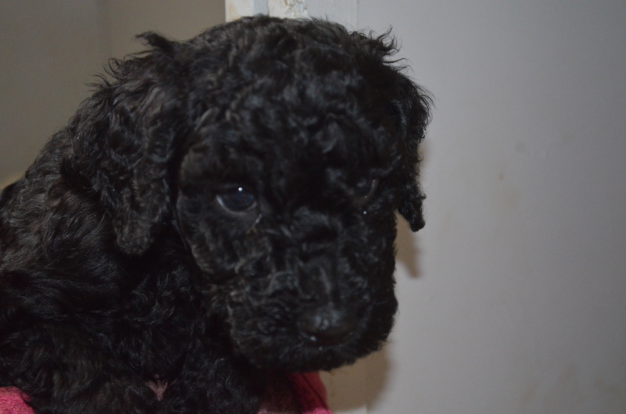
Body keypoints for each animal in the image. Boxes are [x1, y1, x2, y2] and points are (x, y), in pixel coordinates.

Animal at [0, 15, 430, 414]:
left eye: (366, 185)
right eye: (237, 197)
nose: (331, 327)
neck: (173, 262)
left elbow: (220, 374)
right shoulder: (21, 306)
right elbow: (88, 373)